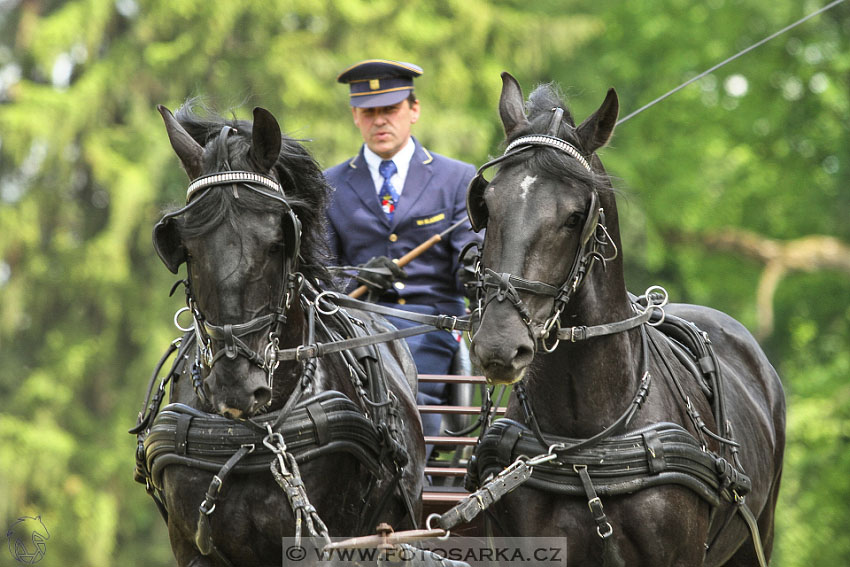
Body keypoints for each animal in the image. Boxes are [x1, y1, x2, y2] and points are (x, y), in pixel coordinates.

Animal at [137, 104, 424, 564]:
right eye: (187, 250)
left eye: (277, 243)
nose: (235, 387)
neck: (254, 438)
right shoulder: (190, 546)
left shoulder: (326, 543)